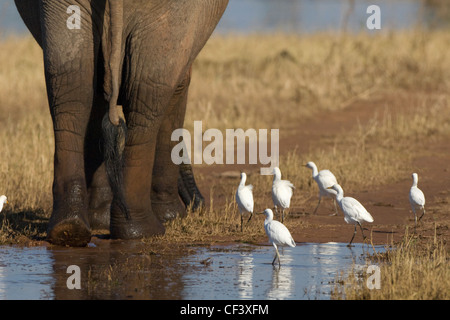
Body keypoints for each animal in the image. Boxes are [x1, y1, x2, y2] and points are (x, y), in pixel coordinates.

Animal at [14, 0, 229, 248]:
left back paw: (70, 229)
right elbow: (177, 90)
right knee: (149, 89)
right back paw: (143, 230)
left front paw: (99, 220)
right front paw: (173, 217)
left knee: (73, 83)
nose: (199, 204)